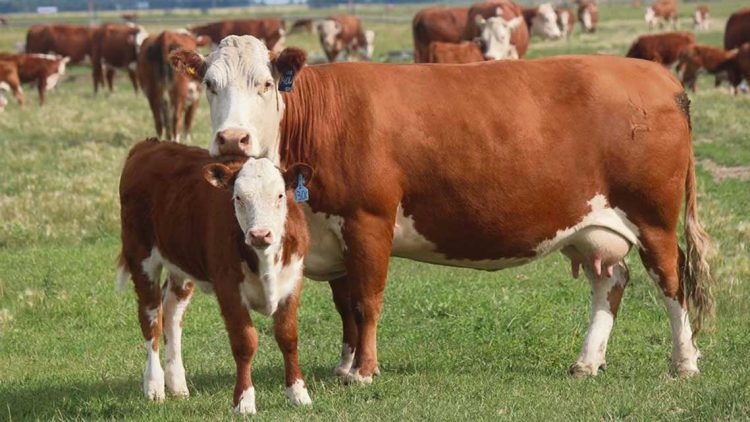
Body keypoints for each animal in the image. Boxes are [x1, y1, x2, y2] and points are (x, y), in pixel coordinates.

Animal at [117, 138, 313, 414]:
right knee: (151, 318)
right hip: (141, 256)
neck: (264, 259)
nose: (260, 234)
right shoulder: (228, 288)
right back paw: (154, 386)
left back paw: (177, 385)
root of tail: (149, 145)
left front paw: (298, 393)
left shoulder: (293, 282)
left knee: (171, 315)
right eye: (238, 198)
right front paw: (244, 401)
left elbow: (288, 337)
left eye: (280, 196)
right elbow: (245, 342)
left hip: (182, 266)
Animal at [171, 35, 715, 385]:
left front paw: (363, 372)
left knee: (672, 279)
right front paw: (345, 365)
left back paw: (685, 362)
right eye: (211, 84)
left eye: (264, 84)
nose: (232, 139)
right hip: (592, 224)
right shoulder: (333, 231)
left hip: (653, 216)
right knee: (611, 281)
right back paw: (587, 361)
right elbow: (345, 304)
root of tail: (656, 75)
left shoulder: (368, 220)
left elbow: (367, 300)